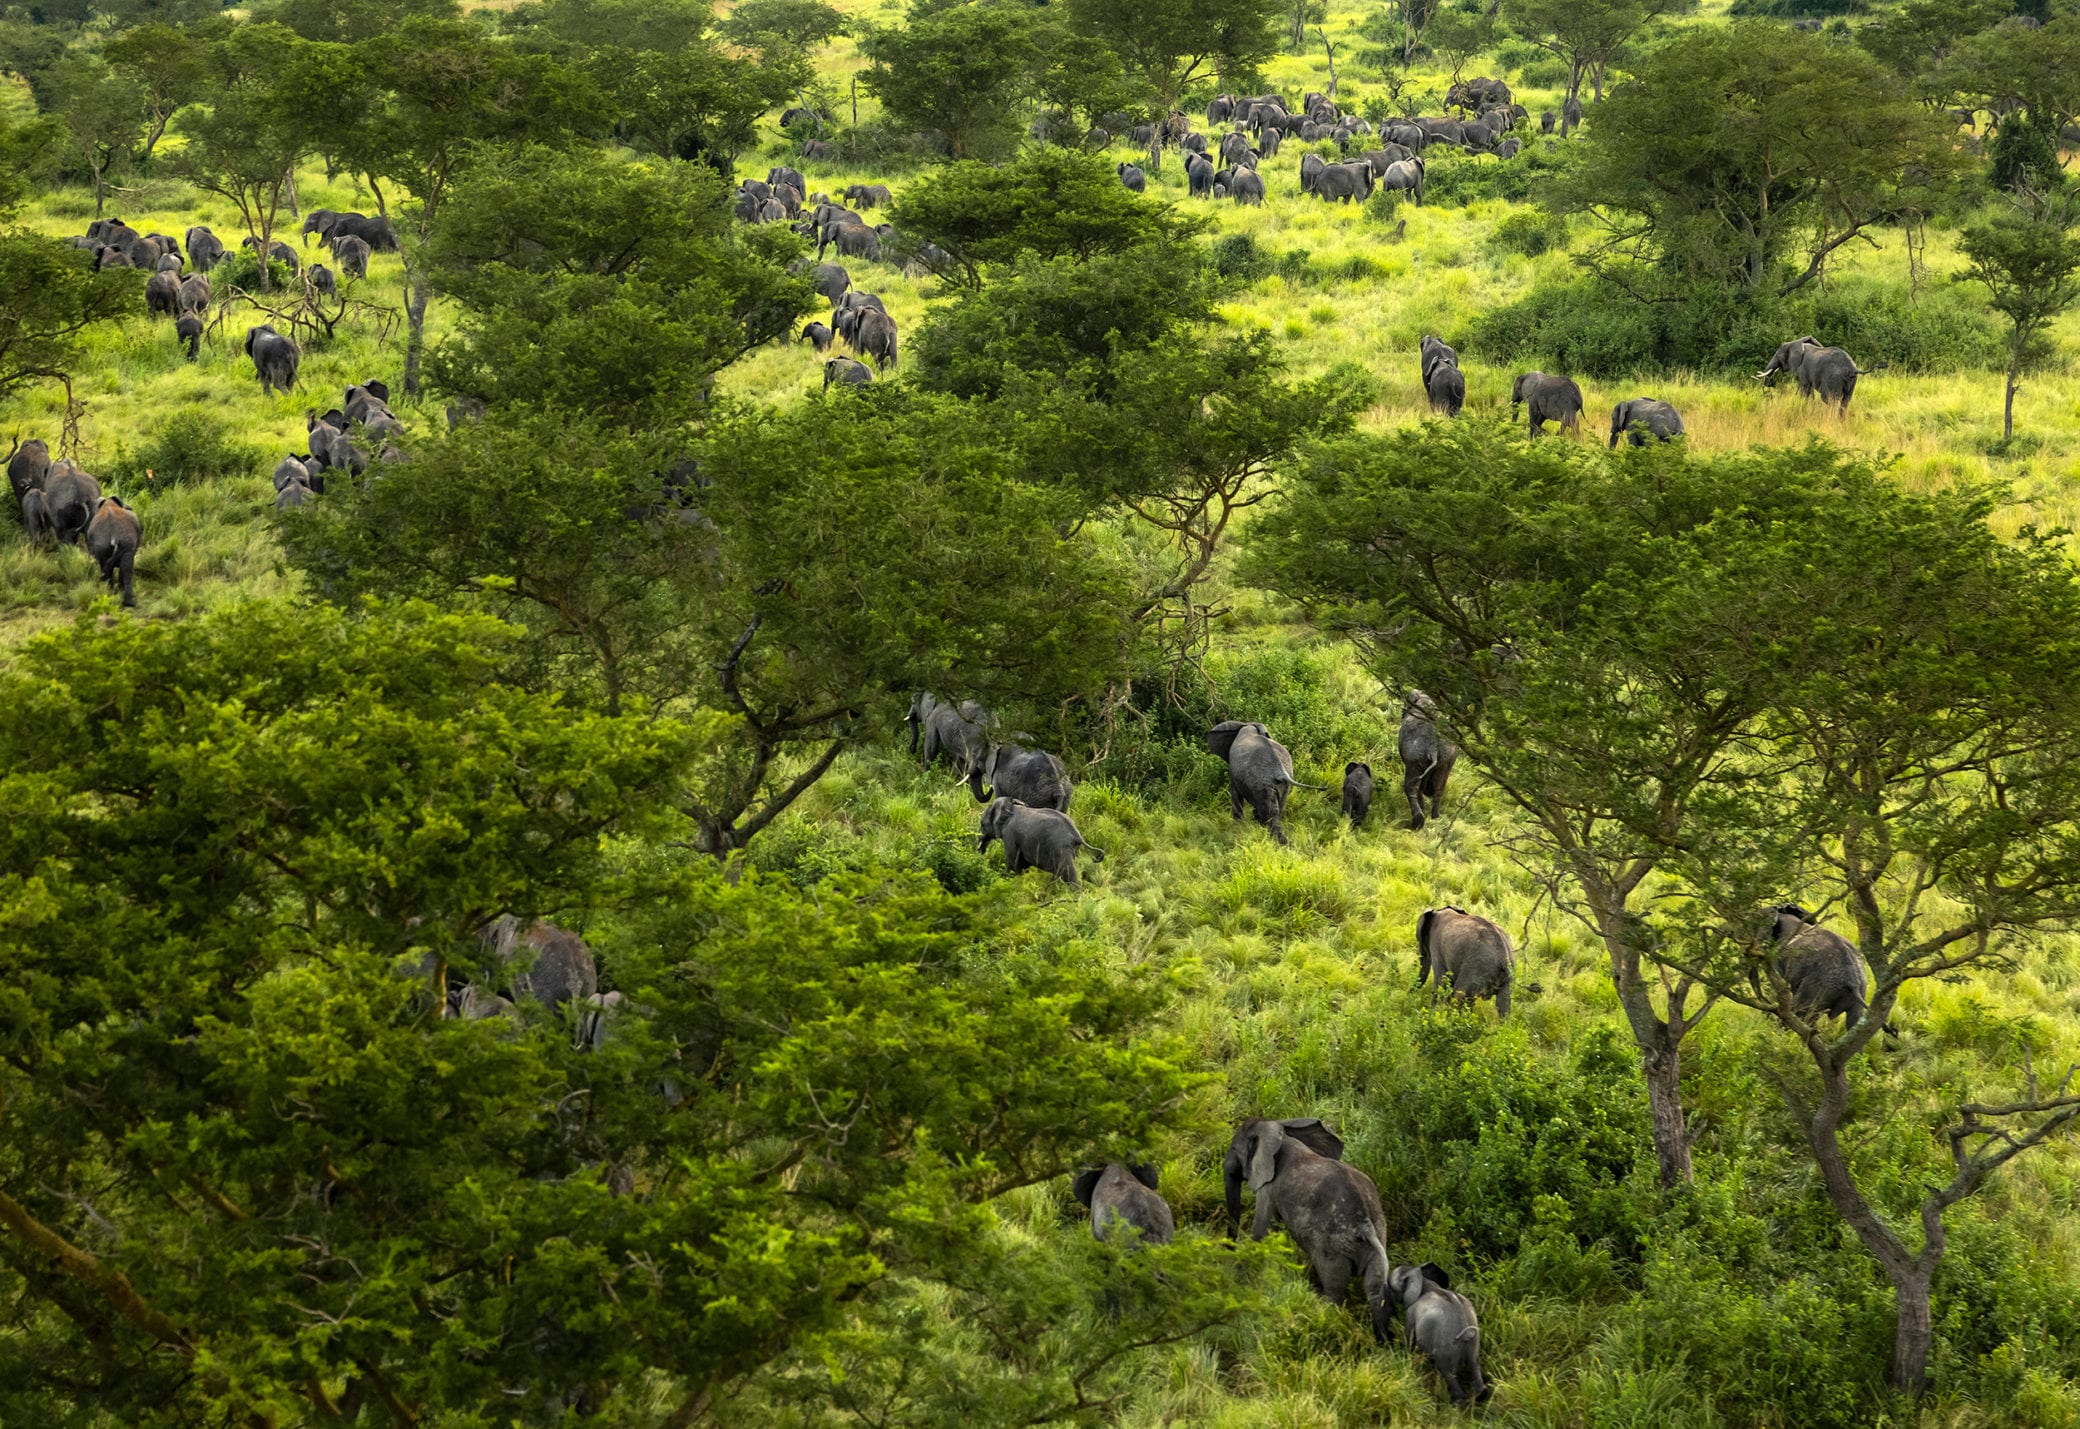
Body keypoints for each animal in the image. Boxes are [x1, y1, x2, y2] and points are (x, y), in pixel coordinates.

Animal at [973, 798, 1106, 890]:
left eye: (982, 824)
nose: (980, 851)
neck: (1012, 805)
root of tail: (1077, 835)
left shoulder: (1010, 833)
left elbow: (1013, 863)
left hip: (1061, 847)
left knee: (1068, 872)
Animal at [1223, 1114, 1389, 1339]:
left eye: (1233, 1148)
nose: (1227, 1249)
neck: (1279, 1133)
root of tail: (1365, 1225)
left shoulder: (1268, 1188)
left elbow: (1260, 1233)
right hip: (1377, 1237)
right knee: (1375, 1291)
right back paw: (1384, 1341)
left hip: (1333, 1248)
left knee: (1334, 1290)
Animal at [1389, 1264, 1489, 1406]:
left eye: (1391, 1289)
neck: (1424, 1281)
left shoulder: (1411, 1312)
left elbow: (1409, 1337)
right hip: (1474, 1340)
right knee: (1473, 1363)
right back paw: (1480, 1396)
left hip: (1446, 1343)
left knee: (1447, 1372)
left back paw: (1457, 1403)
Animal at [1406, 690, 1456, 832]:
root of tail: (1432, 747)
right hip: (1446, 758)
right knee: (1439, 788)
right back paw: (1435, 817)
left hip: (1414, 758)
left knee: (1411, 786)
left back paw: (1417, 822)